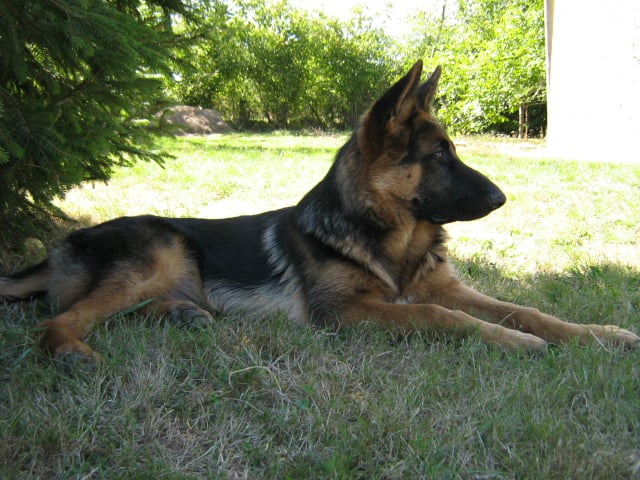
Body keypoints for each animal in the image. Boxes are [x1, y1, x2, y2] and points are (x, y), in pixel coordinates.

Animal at [1, 60, 638, 367]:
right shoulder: (350, 314)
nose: (503, 198)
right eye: (439, 155)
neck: (391, 242)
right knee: (59, 318)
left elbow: (529, 309)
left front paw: (599, 334)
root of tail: (65, 244)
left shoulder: (449, 288)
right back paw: (70, 350)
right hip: (161, 249)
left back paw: (182, 316)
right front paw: (513, 343)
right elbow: (438, 315)